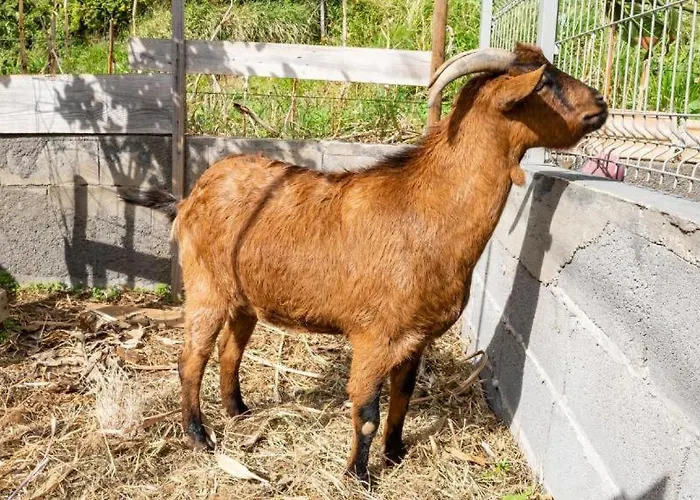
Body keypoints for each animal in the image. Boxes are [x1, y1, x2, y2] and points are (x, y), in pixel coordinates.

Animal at [122, 43, 607, 484]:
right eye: (545, 82)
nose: (601, 104)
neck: (426, 209)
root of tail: (189, 197)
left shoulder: (415, 337)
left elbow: (403, 399)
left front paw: (396, 454)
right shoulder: (375, 337)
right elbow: (367, 410)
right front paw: (358, 475)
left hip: (245, 299)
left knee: (230, 350)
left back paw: (238, 411)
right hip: (206, 286)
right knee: (191, 358)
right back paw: (200, 435)